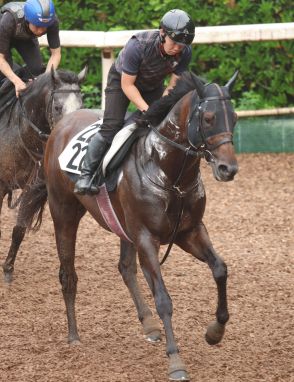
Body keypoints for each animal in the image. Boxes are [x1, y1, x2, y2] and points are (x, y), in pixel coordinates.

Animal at [23, 71, 239, 380]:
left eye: (234, 117)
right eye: (209, 118)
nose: (227, 169)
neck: (168, 172)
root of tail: (62, 124)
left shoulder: (190, 232)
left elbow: (220, 269)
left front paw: (215, 331)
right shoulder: (147, 238)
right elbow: (163, 298)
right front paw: (175, 361)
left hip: (123, 227)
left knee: (126, 268)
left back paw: (148, 323)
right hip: (64, 212)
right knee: (68, 274)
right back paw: (73, 335)